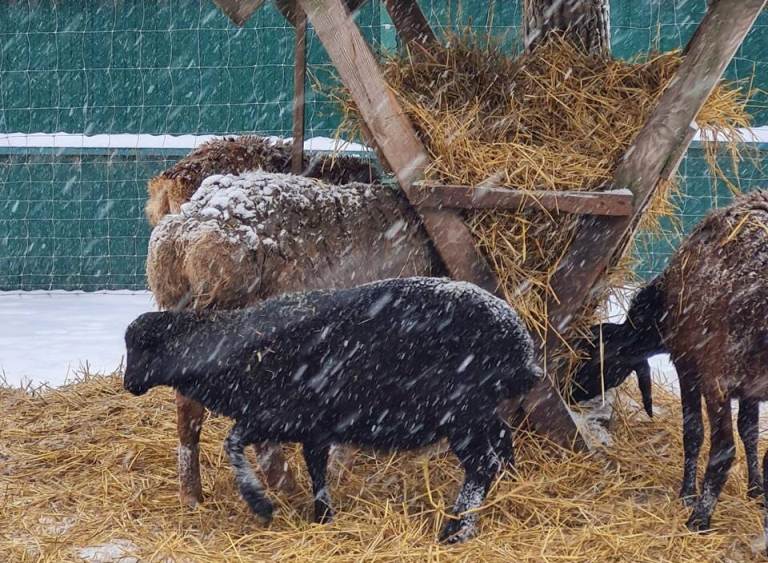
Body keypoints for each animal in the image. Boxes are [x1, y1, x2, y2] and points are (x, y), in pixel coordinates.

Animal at [121, 280, 540, 544]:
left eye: (145, 347)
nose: (129, 384)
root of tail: (521, 344)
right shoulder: (312, 426)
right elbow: (316, 468)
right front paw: (322, 516)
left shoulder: (276, 415)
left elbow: (233, 442)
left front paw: (260, 503)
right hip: (480, 411)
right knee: (502, 443)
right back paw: (513, 490)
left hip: (460, 411)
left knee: (481, 465)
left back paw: (456, 530)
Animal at [568, 191, 768, 540]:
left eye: (591, 360)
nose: (567, 390)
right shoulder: (751, 385)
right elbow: (750, 431)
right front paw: (756, 491)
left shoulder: (690, 366)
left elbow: (694, 433)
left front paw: (688, 494)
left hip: (718, 369)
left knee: (723, 449)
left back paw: (699, 519)